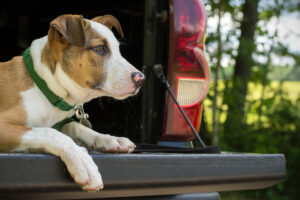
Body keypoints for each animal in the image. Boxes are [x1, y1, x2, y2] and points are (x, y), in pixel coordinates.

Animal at [0, 14, 144, 191]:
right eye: (100, 48)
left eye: (118, 49)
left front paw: (109, 139)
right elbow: (49, 132)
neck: (44, 84)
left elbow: (75, 125)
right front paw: (82, 161)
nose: (141, 79)